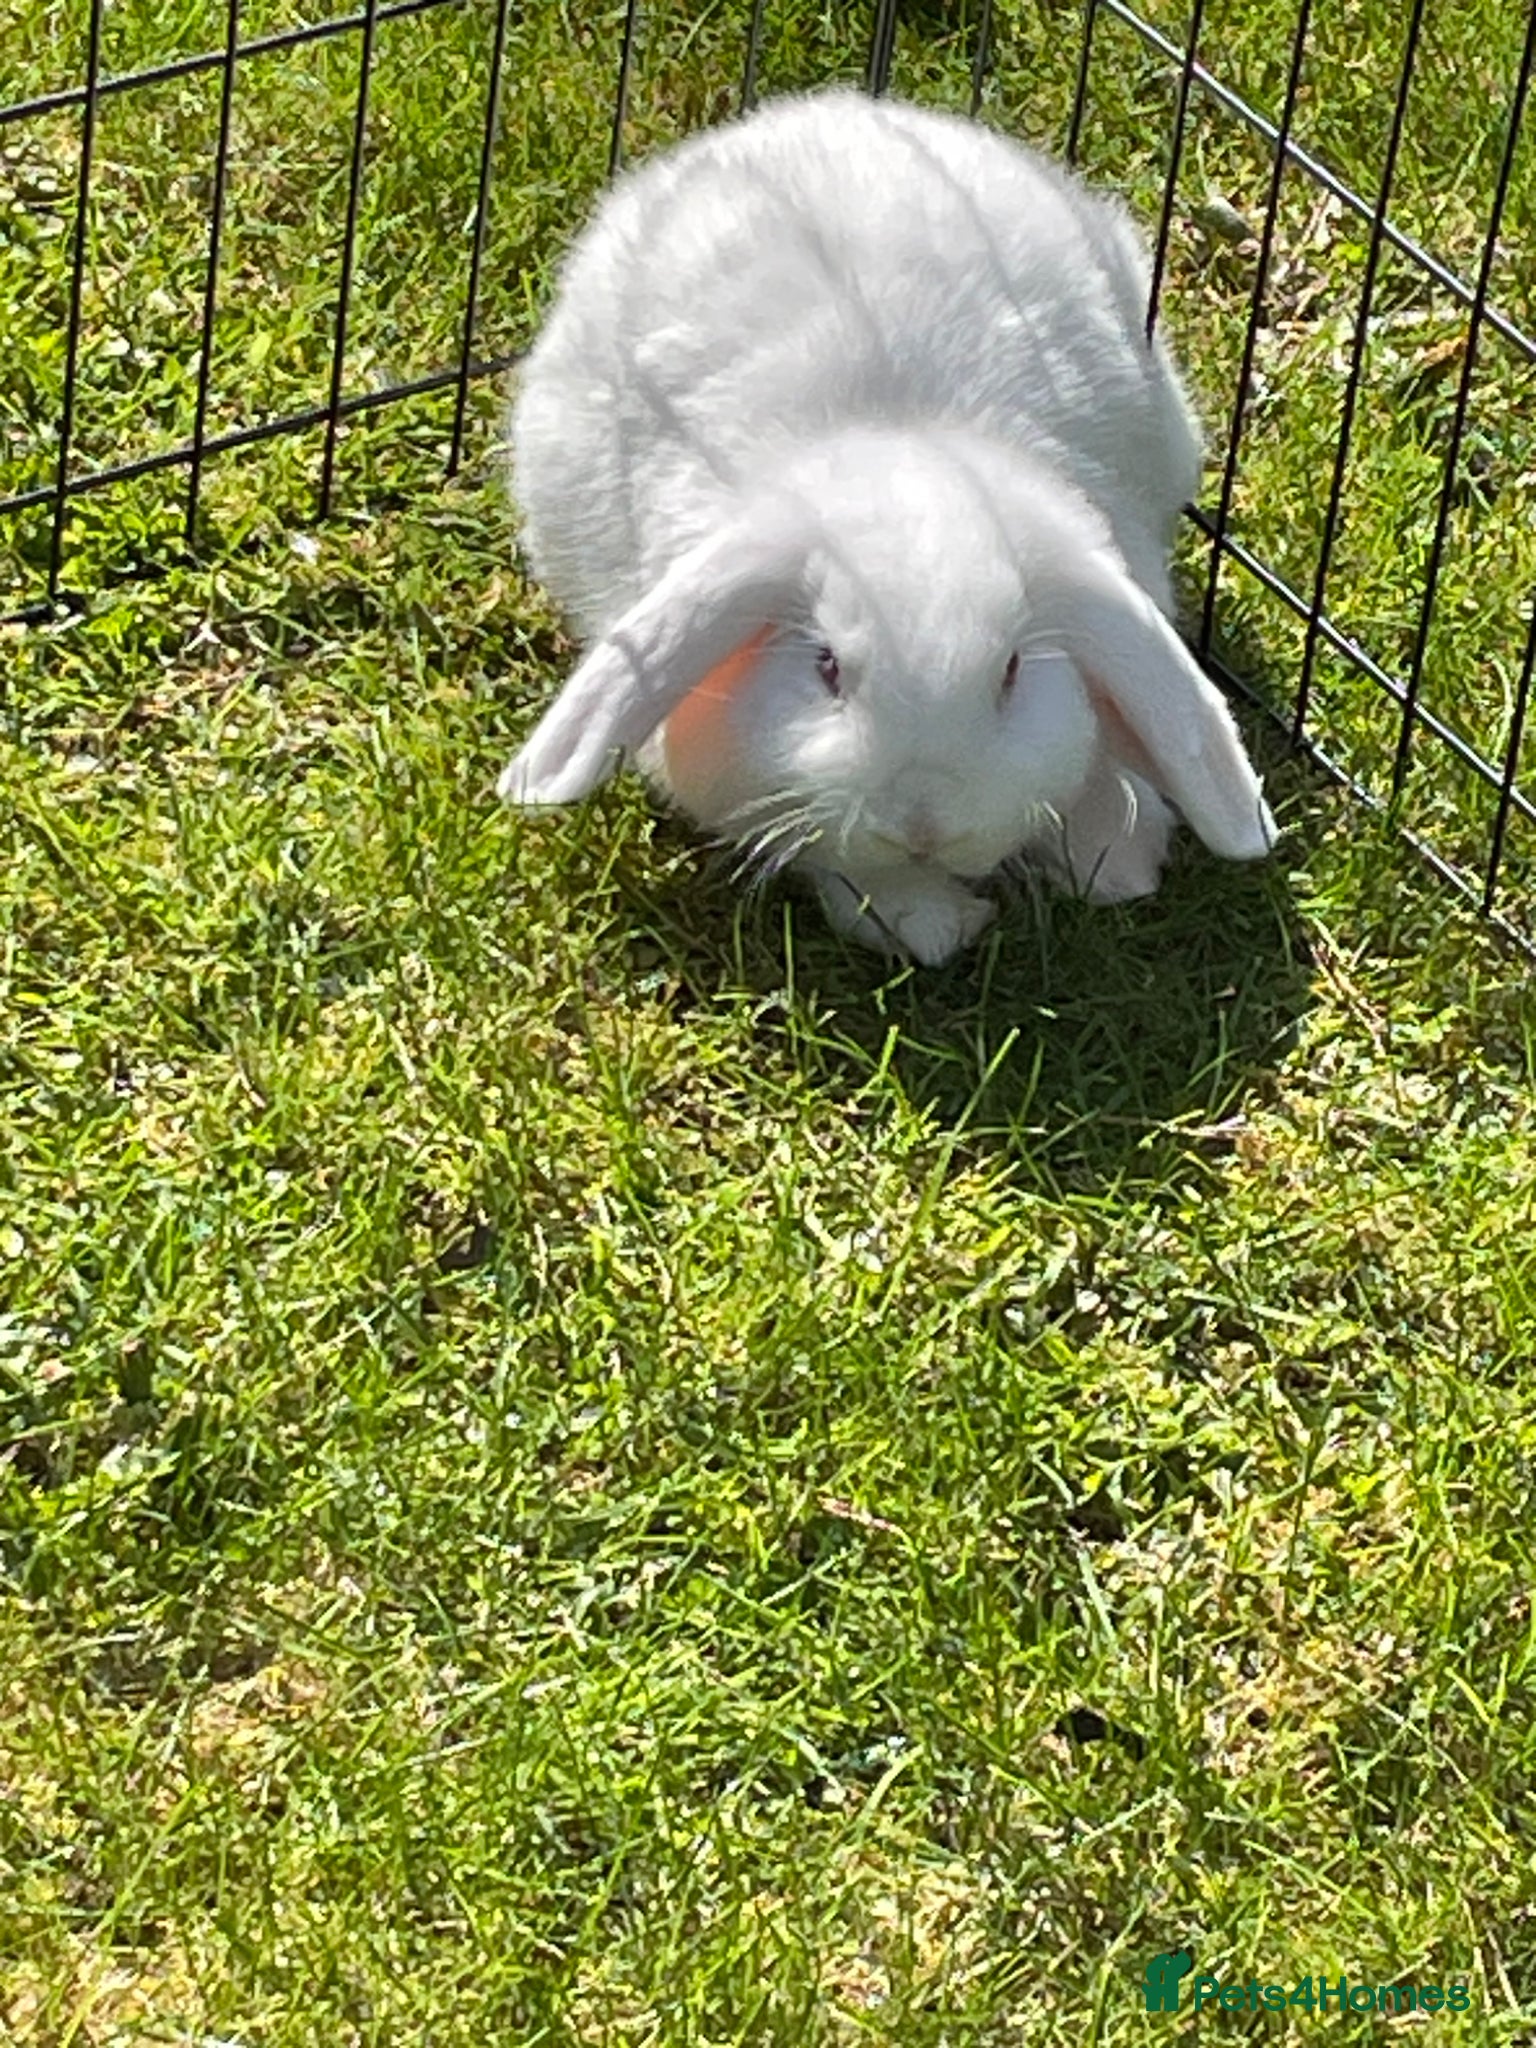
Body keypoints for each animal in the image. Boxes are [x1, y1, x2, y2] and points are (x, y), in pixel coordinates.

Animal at [499, 88, 1275, 965]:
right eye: (827, 668)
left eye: (1011, 672)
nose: (923, 821)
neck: (900, 441)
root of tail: (827, 111)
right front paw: (931, 920)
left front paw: (1117, 857)